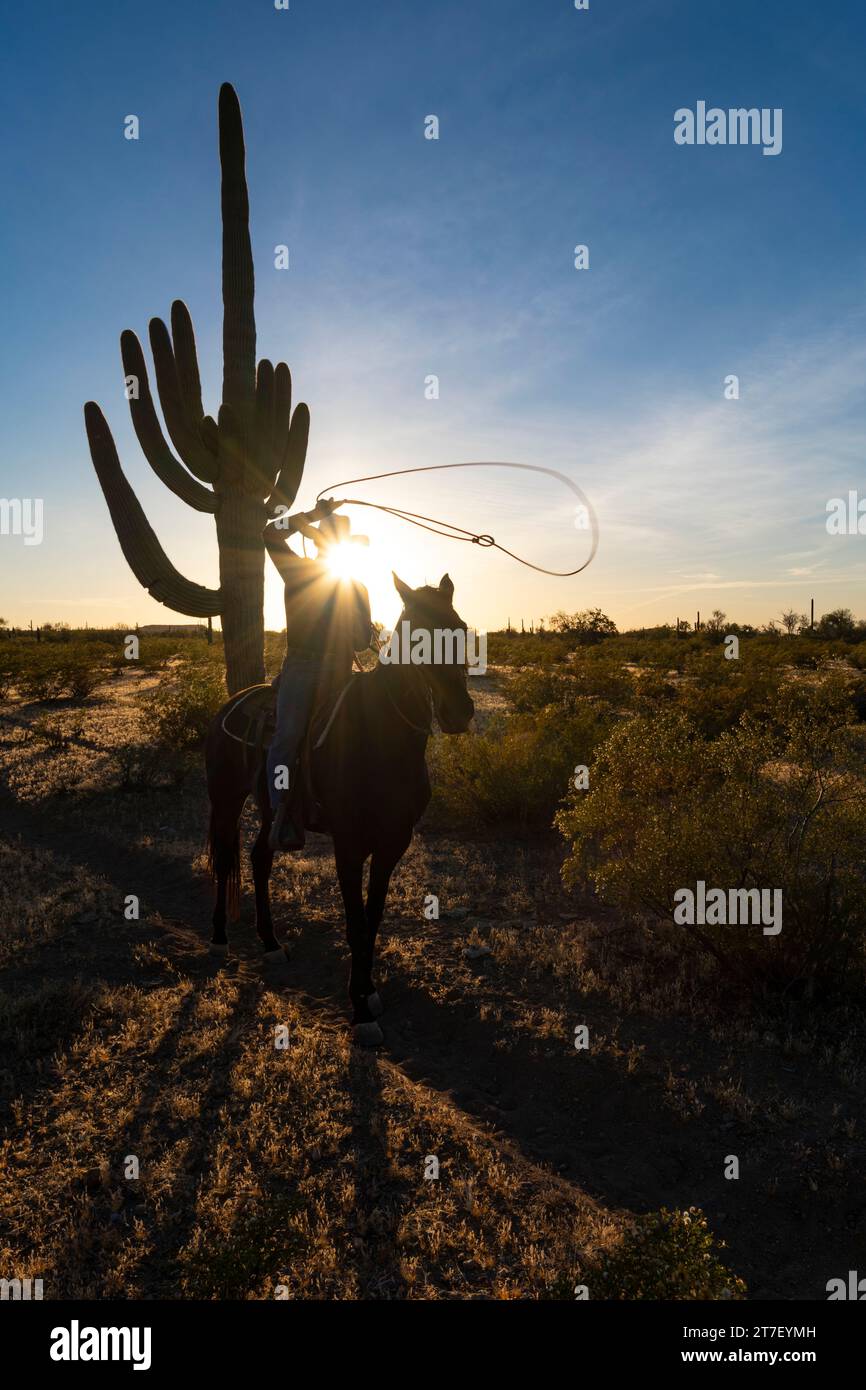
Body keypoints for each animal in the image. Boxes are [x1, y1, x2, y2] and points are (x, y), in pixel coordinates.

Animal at [204, 572, 475, 1043]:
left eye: (459, 629)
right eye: (417, 637)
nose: (459, 711)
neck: (382, 735)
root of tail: (231, 703)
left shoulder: (392, 844)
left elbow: (373, 918)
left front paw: (368, 992)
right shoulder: (348, 846)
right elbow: (354, 923)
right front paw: (360, 1010)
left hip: (273, 812)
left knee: (258, 859)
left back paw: (271, 943)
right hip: (226, 800)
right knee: (224, 859)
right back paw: (220, 937)